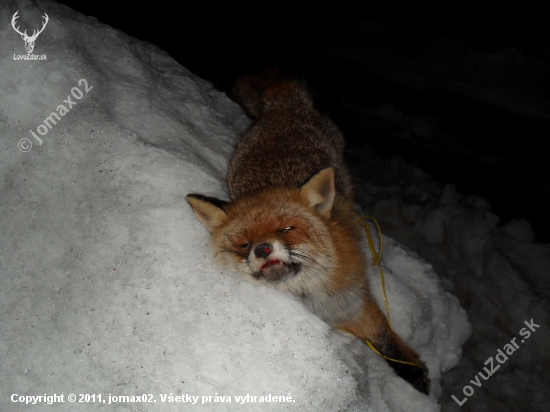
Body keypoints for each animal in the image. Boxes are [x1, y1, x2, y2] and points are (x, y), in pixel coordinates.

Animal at [187, 70, 432, 392]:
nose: (263, 248)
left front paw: (412, 371)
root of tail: (288, 106)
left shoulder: (351, 301)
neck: (306, 294)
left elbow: (385, 339)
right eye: (244, 244)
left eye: (287, 228)